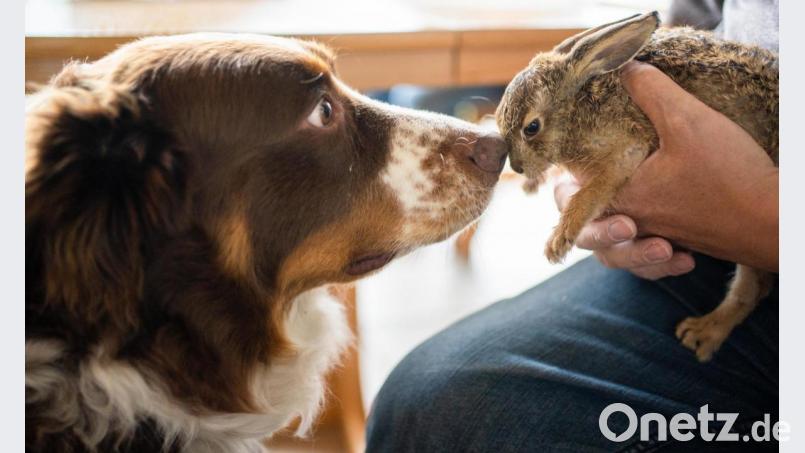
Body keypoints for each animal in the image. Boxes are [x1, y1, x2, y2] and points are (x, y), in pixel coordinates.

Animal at [495, 11, 778, 362]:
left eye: (531, 127)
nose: (517, 168)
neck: (577, 108)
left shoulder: (627, 149)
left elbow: (591, 193)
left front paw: (558, 243)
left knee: (752, 288)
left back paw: (702, 333)